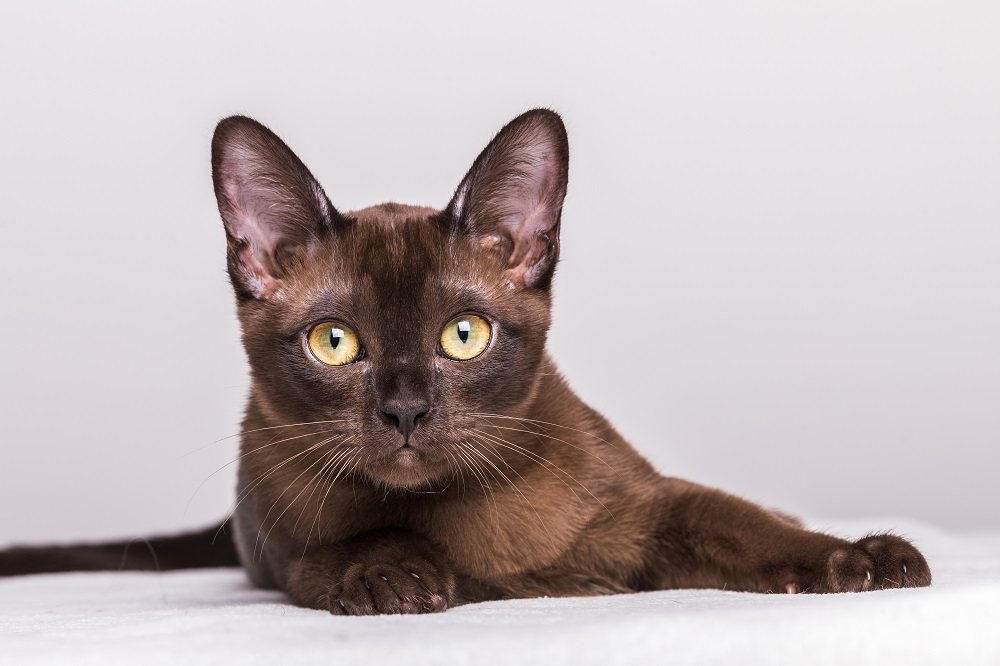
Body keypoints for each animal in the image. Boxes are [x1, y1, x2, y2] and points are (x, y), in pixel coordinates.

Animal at [3, 109, 932, 612]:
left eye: (463, 335)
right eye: (335, 343)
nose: (406, 410)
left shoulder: (655, 510)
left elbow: (745, 524)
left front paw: (866, 561)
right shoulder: (290, 548)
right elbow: (364, 534)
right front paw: (398, 577)